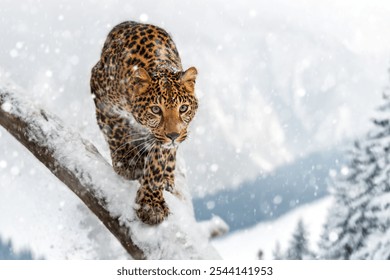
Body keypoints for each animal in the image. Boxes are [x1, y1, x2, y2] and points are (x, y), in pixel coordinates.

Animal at [90, 20, 198, 224]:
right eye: (156, 109)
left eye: (183, 108)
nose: (174, 135)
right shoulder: (99, 90)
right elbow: (114, 128)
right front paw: (127, 161)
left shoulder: (161, 140)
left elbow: (157, 164)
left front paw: (151, 205)